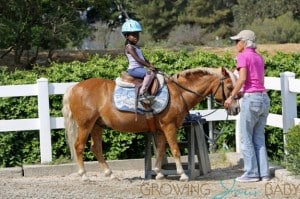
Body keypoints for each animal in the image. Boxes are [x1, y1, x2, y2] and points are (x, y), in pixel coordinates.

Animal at [62, 66, 238, 180]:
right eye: (230, 86)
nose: (236, 109)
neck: (179, 92)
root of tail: (74, 87)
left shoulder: (161, 130)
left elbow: (160, 150)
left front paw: (158, 173)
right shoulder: (169, 127)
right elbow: (175, 150)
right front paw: (182, 174)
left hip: (97, 126)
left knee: (96, 148)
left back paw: (110, 174)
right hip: (85, 125)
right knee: (79, 146)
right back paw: (84, 175)